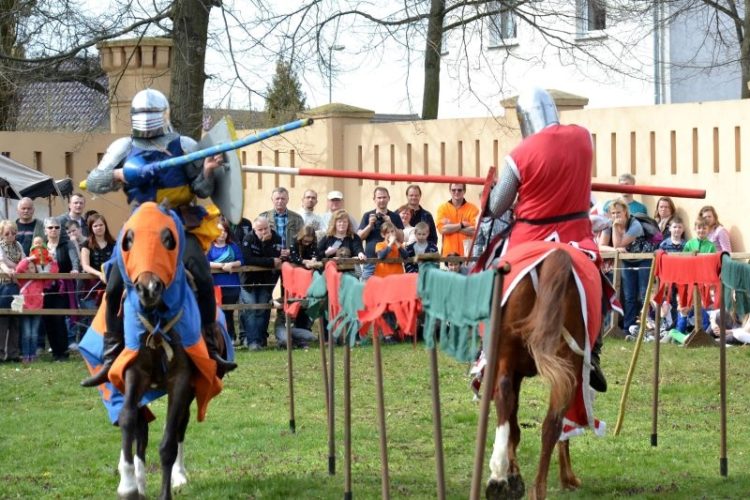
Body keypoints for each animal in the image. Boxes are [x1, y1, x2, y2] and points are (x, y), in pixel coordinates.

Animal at [484, 247, 604, 500]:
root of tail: (556, 255)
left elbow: (513, 422)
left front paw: (513, 474)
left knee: (506, 398)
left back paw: (500, 477)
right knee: (552, 424)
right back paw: (533, 487)